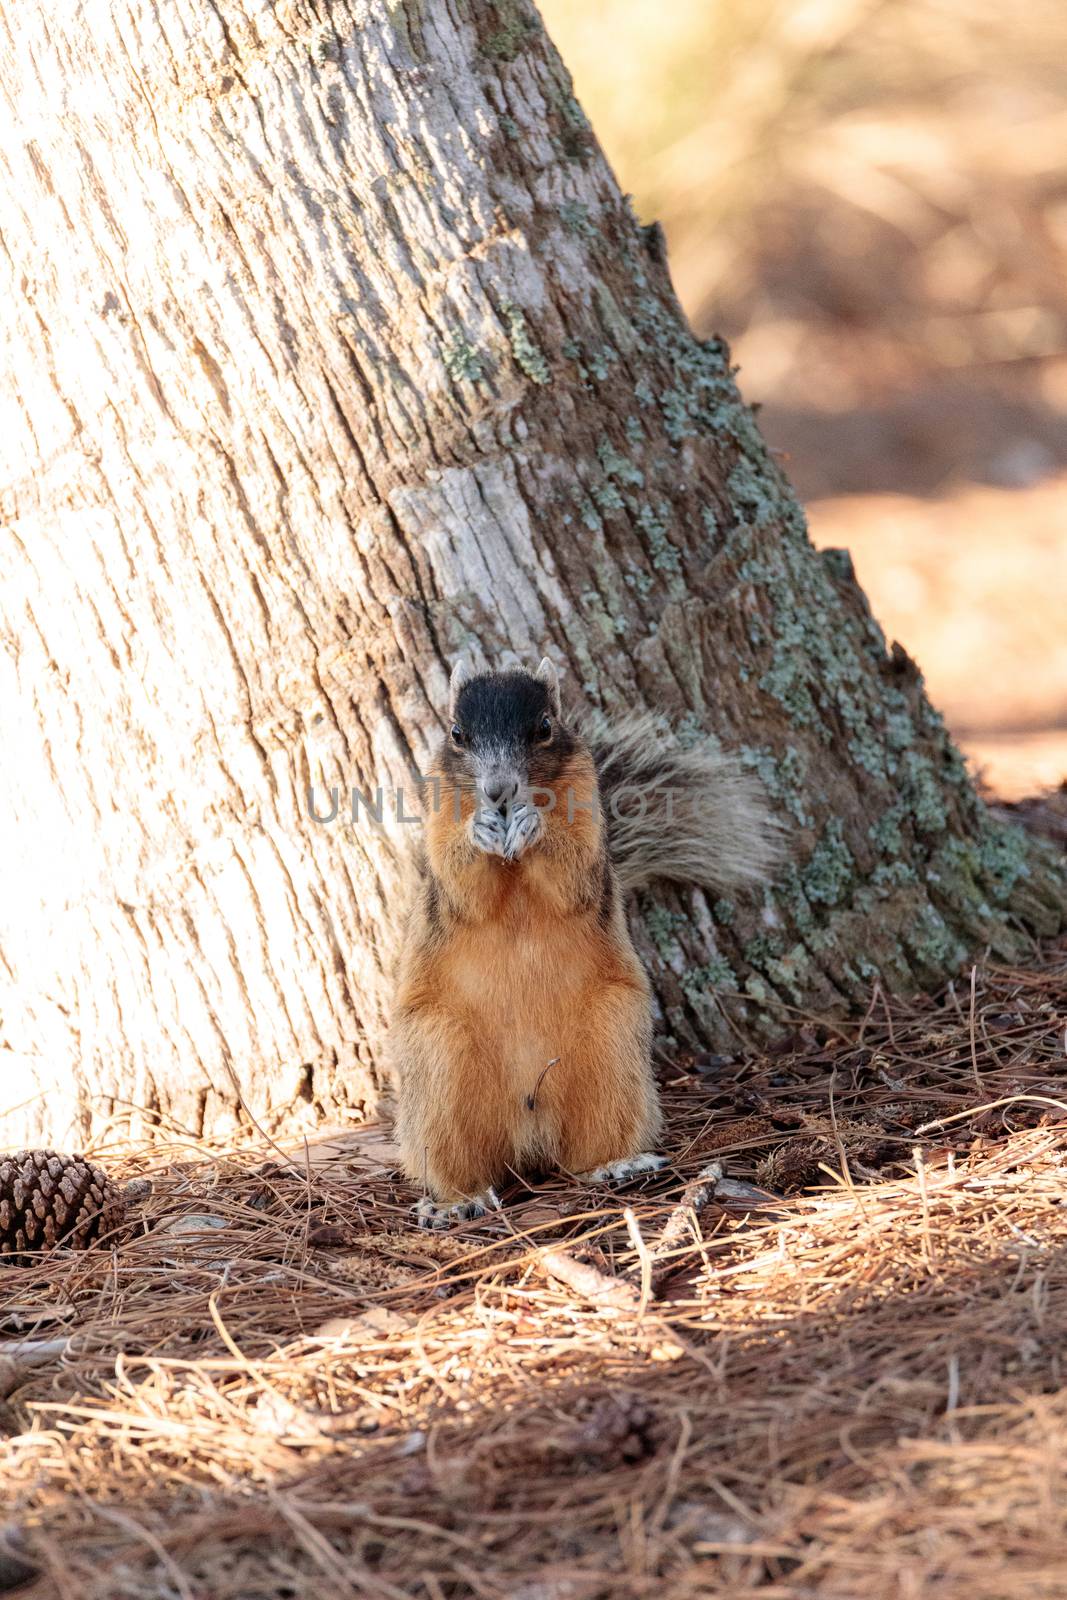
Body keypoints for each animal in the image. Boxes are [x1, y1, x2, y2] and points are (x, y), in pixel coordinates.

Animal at [391, 656, 783, 1228]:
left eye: (544, 728)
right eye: (457, 733)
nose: (499, 791)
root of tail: (528, 1125)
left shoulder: (586, 819)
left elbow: (570, 868)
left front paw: (534, 823)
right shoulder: (440, 822)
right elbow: (462, 883)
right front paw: (480, 830)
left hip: (611, 1041)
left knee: (590, 1144)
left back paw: (618, 1165)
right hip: (437, 1061)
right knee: (453, 1160)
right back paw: (454, 1203)